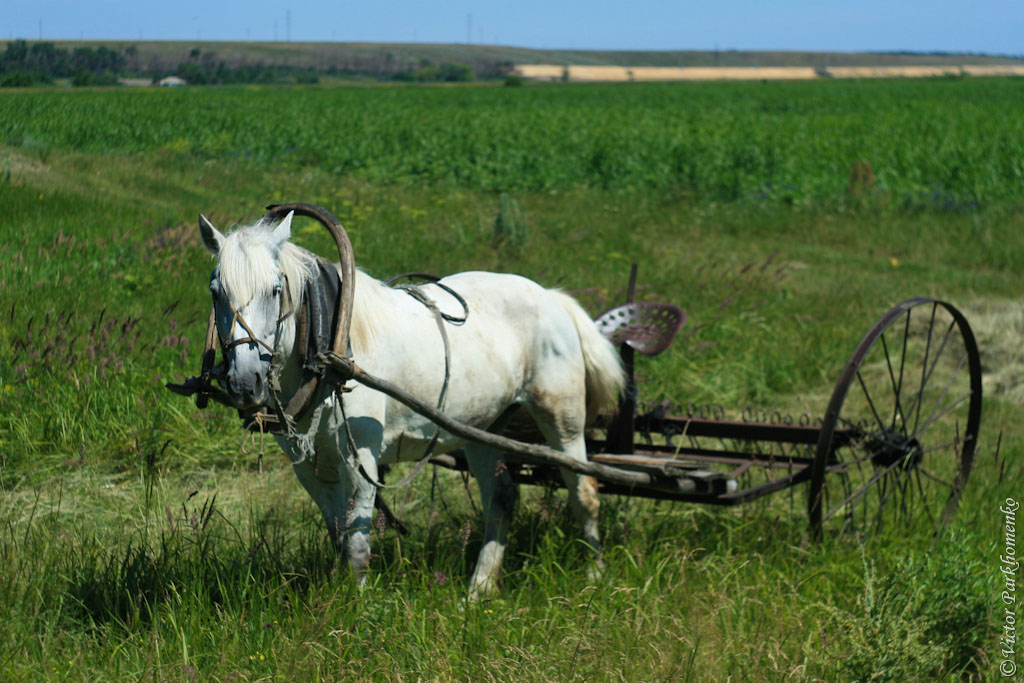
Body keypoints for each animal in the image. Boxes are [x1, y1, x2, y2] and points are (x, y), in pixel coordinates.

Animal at [197, 210, 626, 599]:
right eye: (216, 291)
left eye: (274, 289)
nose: (244, 382)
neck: (330, 344)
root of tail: (551, 297)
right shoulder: (308, 465)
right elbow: (338, 534)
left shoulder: (360, 458)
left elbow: (356, 541)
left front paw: (357, 608)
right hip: (484, 428)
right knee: (502, 498)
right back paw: (480, 588)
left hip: (562, 416)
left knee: (583, 489)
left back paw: (595, 573)